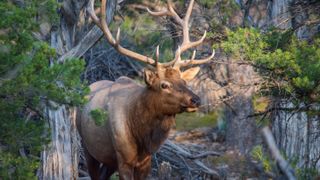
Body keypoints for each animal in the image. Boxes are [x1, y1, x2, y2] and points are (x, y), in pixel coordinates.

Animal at [76, 0, 215, 179]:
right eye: (164, 85)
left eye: (184, 80)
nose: (196, 99)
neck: (142, 138)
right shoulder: (124, 160)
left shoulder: (146, 161)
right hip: (87, 147)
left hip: (109, 159)